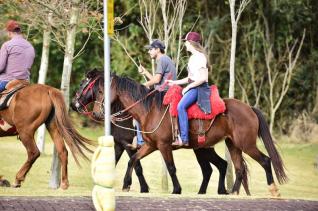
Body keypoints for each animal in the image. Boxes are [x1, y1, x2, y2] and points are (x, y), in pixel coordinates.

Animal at [71, 70, 238, 195]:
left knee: (212, 168)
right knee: (217, 166)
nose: (74, 104)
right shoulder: (122, 145)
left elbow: (141, 166)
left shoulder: (132, 145)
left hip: (202, 150)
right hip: (202, 149)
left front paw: (142, 187)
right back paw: (213, 191)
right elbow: (123, 162)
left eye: (83, 84)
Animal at [103, 73, 286, 195]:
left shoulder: (163, 145)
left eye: (104, 89)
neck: (150, 110)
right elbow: (133, 160)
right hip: (232, 144)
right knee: (238, 168)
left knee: (265, 160)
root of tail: (250, 109)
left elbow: (171, 167)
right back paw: (232, 192)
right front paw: (126, 185)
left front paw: (177, 190)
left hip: (246, 144)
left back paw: (273, 190)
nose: (102, 107)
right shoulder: (150, 145)